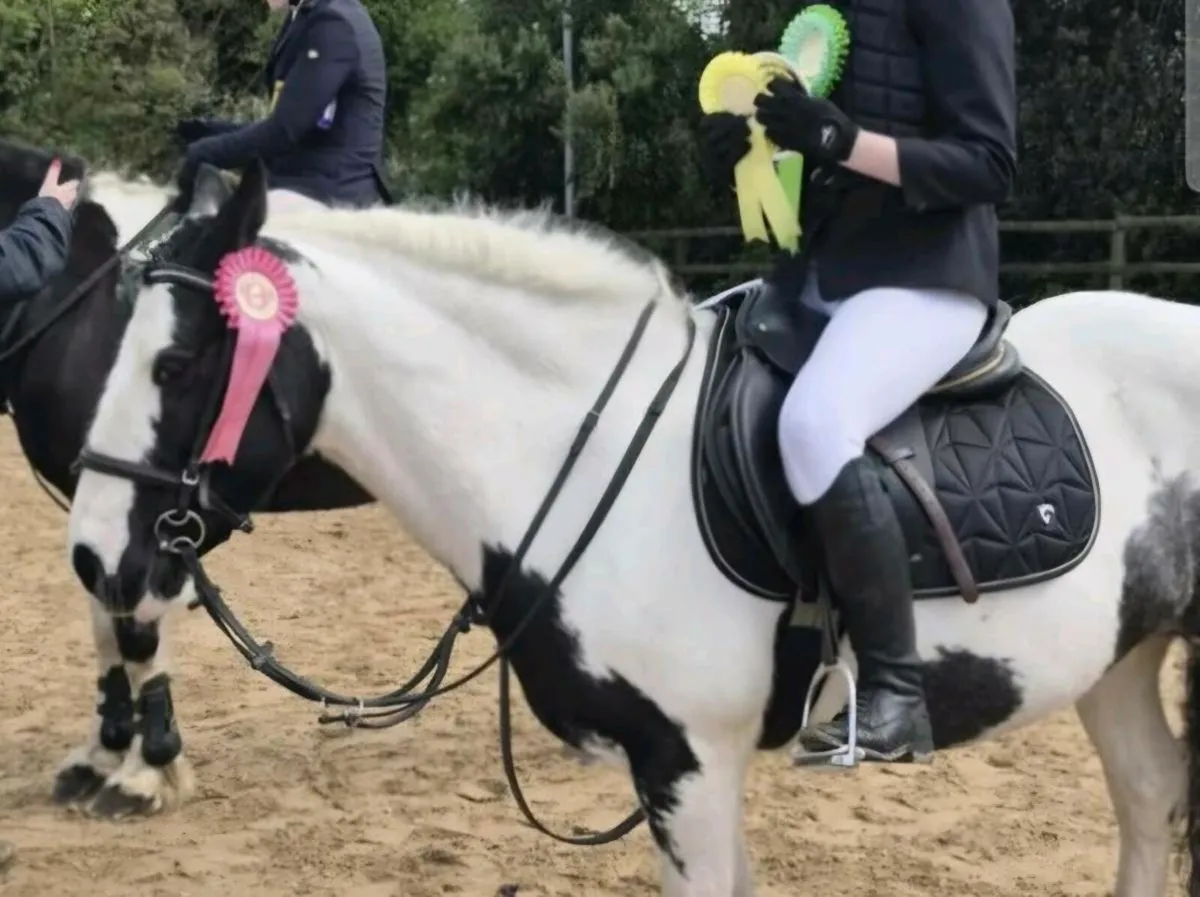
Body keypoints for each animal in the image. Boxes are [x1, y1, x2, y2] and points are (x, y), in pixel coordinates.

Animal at [0, 140, 376, 819]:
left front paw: (147, 769)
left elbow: (137, 630)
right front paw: (104, 752)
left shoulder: (153, 517)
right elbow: (106, 619)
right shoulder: (103, 512)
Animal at [65, 158, 1198, 897]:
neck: (587, 453)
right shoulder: (690, 773)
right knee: (1150, 800)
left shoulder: (686, 763)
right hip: (1119, 660)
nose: (93, 556)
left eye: (175, 364)